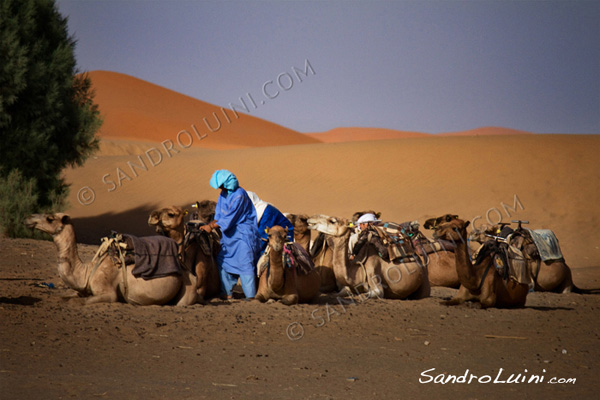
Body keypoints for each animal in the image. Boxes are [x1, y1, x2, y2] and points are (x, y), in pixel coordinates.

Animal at [24, 214, 197, 304]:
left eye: (50, 218)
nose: (29, 219)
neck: (87, 271)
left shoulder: (108, 293)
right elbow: (65, 297)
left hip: (187, 288)